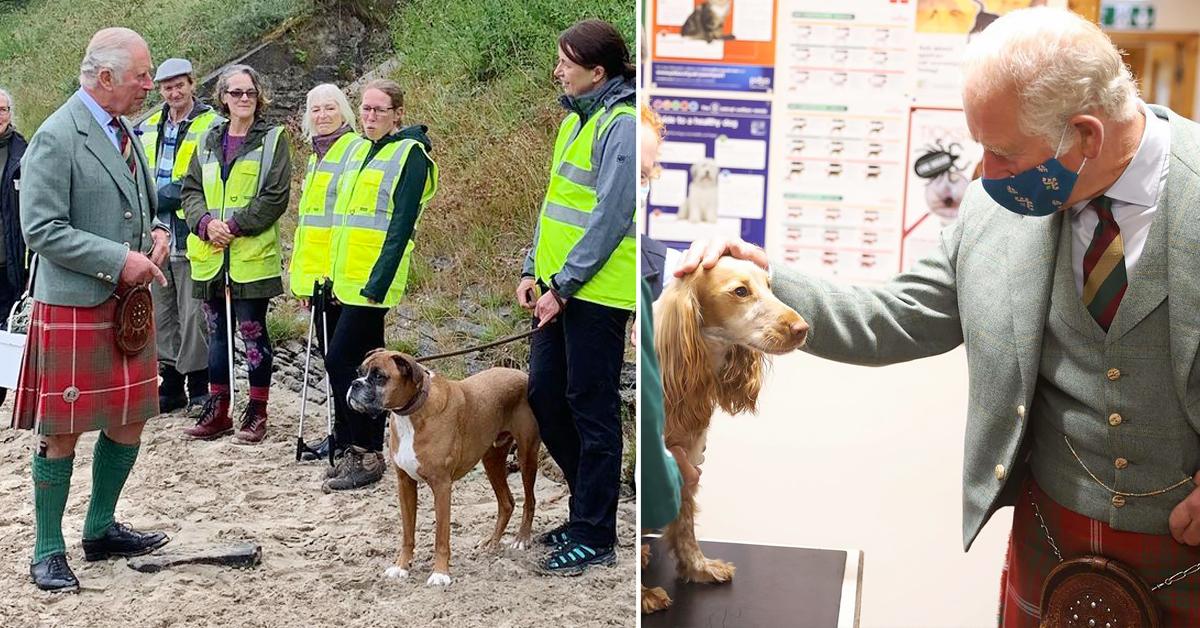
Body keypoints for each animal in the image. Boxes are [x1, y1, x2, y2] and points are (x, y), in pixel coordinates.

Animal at [345, 350, 537, 588]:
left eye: (379, 376)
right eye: (358, 372)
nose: (354, 384)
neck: (410, 414)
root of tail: (522, 374)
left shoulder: (442, 486)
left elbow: (441, 537)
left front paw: (440, 573)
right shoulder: (405, 483)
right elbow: (407, 533)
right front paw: (401, 566)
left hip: (527, 455)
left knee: (530, 500)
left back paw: (521, 538)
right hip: (492, 459)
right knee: (507, 503)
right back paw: (492, 542)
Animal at [643, 255, 811, 614]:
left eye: (769, 285)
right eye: (740, 291)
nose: (802, 328)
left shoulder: (688, 460)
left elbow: (686, 525)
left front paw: (698, 567)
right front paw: (645, 593)